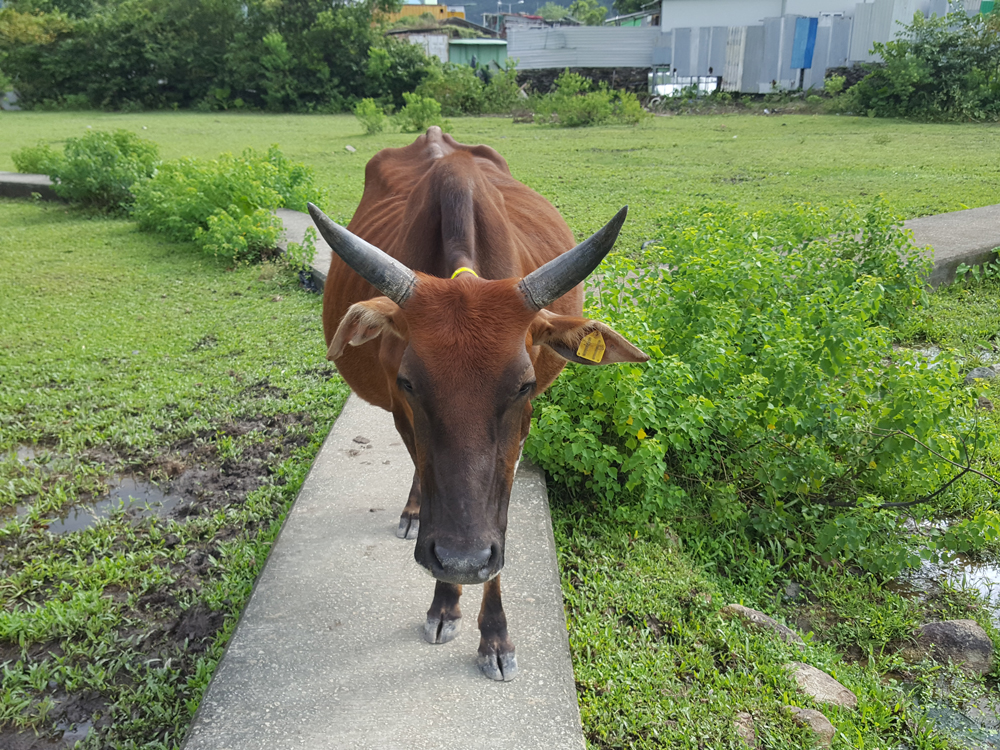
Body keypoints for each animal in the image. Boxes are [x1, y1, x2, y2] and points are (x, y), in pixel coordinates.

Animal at [308, 128, 644, 680]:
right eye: (408, 382)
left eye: (524, 384)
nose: (462, 559)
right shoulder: (403, 415)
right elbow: (427, 473)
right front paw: (445, 602)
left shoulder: (518, 437)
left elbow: (499, 528)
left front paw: (495, 635)